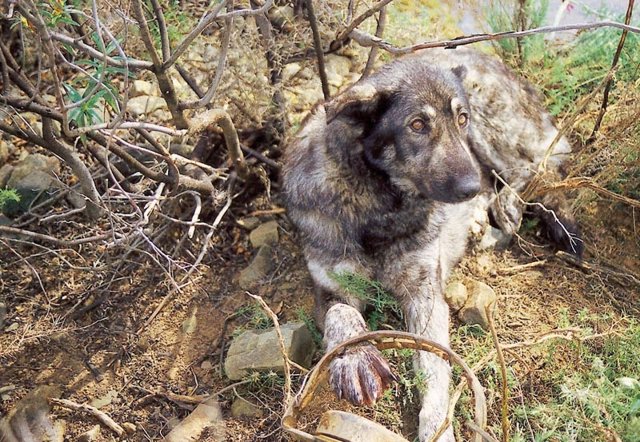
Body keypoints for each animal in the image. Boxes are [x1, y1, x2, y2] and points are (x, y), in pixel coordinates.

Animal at [280, 46, 580, 440]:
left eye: (461, 119)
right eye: (418, 125)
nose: (470, 187)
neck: (379, 200)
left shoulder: (425, 294)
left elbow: (435, 367)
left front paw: (438, 426)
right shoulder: (330, 286)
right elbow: (340, 315)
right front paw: (356, 358)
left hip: (494, 136)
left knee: (535, 169)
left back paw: (509, 207)